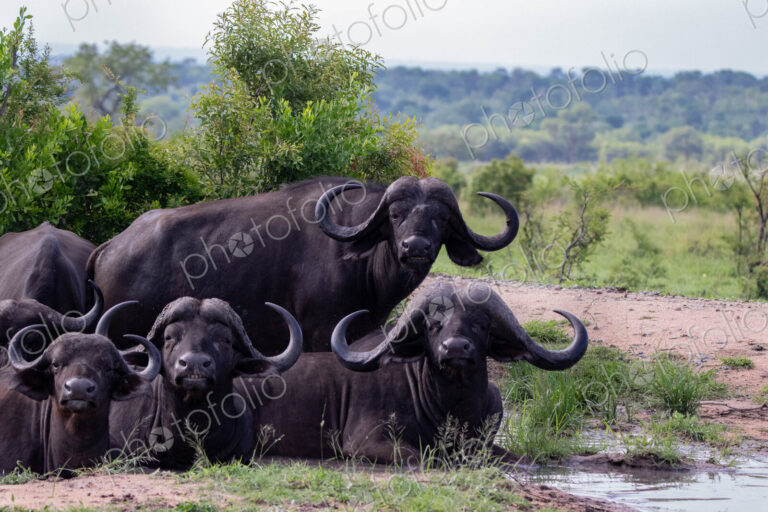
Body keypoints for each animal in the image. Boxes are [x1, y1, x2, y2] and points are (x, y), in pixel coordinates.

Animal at [249, 282, 588, 464]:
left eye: (480, 325)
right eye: (434, 325)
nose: (455, 348)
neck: (452, 407)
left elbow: (522, 459)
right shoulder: (365, 443)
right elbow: (426, 455)